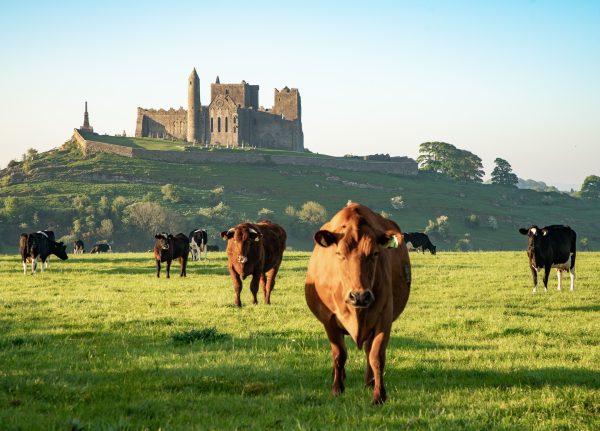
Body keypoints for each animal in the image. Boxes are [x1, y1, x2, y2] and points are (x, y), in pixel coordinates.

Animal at [304, 202, 412, 404]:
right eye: (339, 253)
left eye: (375, 253)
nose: (360, 296)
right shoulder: (329, 319)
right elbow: (339, 355)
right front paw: (337, 389)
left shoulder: (384, 317)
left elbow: (376, 356)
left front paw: (379, 395)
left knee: (369, 351)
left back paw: (369, 382)